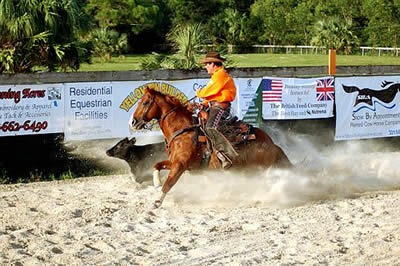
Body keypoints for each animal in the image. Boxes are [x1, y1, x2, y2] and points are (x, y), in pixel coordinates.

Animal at [130, 87, 290, 208]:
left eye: (145, 103)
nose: (133, 122)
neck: (182, 130)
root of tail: (272, 144)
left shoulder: (180, 165)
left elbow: (169, 183)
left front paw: (157, 202)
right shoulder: (174, 162)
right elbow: (156, 165)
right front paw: (156, 183)